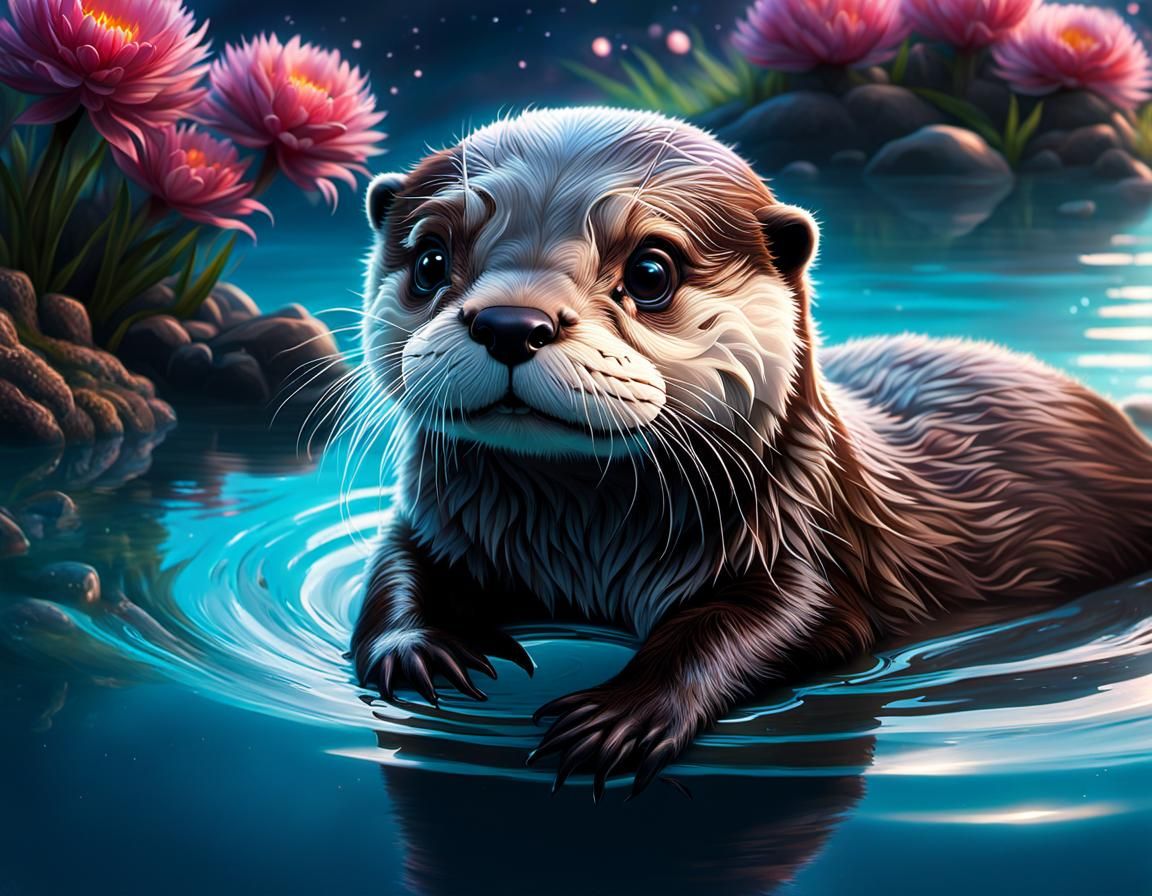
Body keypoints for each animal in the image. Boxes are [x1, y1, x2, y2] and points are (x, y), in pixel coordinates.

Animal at [350, 107, 1152, 797]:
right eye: (430, 260)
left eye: (650, 272)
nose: (513, 322)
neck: (580, 546)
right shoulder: (444, 524)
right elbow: (393, 565)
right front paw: (418, 647)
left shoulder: (811, 536)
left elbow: (769, 623)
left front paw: (618, 718)